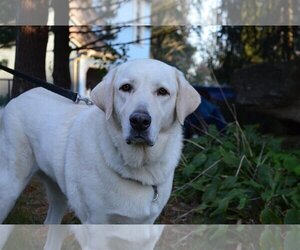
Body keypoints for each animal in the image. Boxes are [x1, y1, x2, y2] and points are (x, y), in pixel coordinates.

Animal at [0, 59, 202, 225]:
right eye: (126, 87)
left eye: (162, 92)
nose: (139, 120)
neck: (139, 167)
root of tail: (16, 98)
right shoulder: (96, 223)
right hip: (9, 187)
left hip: (58, 191)